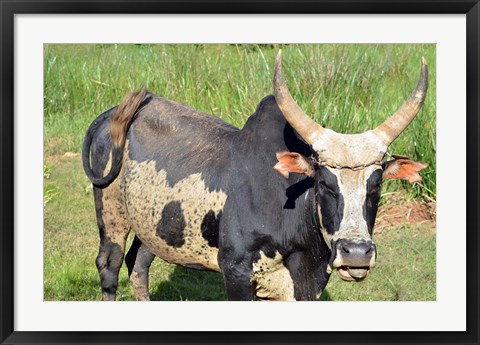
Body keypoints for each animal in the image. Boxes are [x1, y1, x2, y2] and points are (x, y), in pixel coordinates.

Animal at [82, 49, 428, 300]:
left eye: (376, 183)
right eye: (324, 183)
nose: (356, 253)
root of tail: (111, 114)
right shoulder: (236, 274)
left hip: (153, 226)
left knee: (138, 265)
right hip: (111, 213)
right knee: (110, 265)